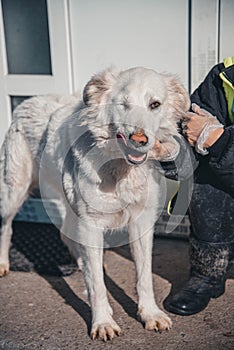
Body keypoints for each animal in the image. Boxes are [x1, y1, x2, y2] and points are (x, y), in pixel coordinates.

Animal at [0, 67, 190, 340]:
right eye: (123, 105)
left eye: (155, 104)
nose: (139, 139)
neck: (120, 168)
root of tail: (26, 101)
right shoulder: (91, 224)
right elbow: (97, 286)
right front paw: (103, 322)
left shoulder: (140, 223)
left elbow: (144, 276)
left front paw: (150, 314)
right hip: (14, 191)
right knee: (6, 227)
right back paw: (4, 263)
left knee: (67, 234)